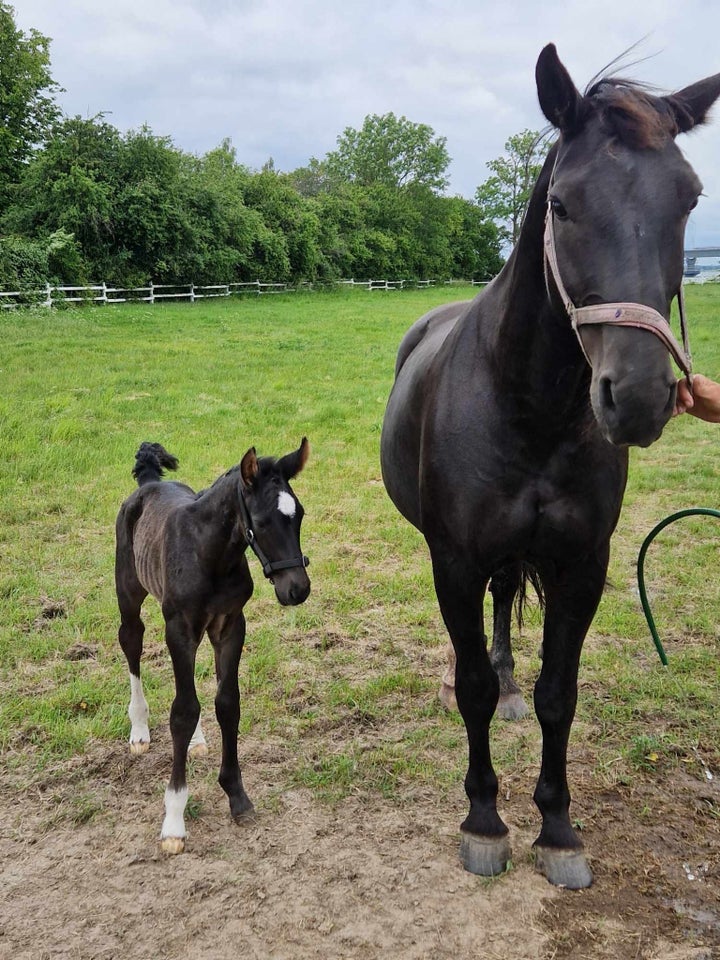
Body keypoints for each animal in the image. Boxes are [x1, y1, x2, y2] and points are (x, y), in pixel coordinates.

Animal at [114, 438, 310, 852]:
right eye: (262, 522)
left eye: (299, 514)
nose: (297, 589)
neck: (212, 553)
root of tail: (149, 482)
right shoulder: (179, 628)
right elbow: (182, 711)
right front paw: (173, 819)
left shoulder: (230, 624)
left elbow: (226, 703)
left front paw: (237, 795)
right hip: (129, 594)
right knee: (131, 644)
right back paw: (139, 730)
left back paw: (196, 741)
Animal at [382, 43, 720, 884]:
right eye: (562, 204)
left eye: (691, 198)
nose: (638, 395)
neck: (527, 407)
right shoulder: (455, 561)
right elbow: (471, 687)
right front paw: (485, 820)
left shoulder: (582, 564)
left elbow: (558, 693)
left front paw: (559, 828)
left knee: (508, 606)